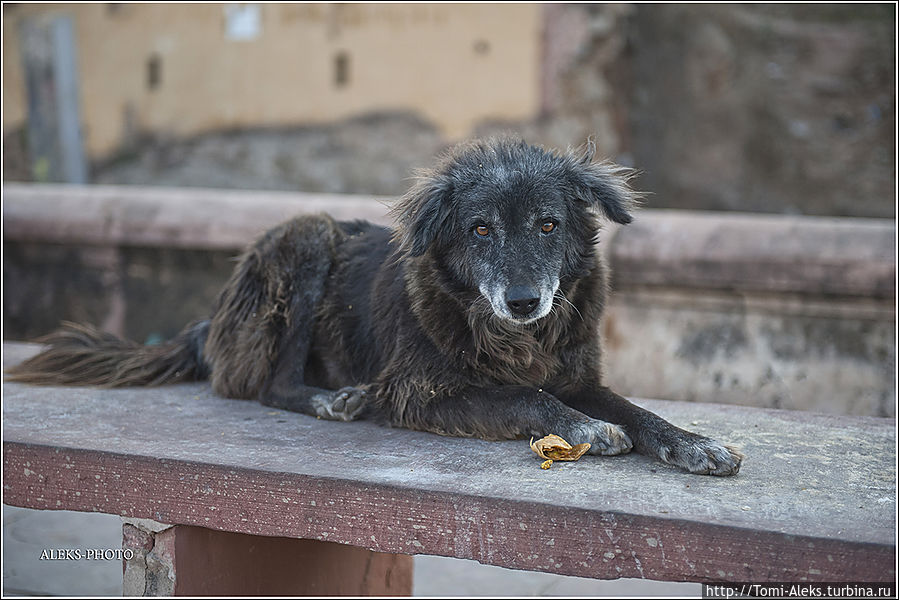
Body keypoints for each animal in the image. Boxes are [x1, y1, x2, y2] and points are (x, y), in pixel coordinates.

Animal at [8, 138, 744, 476]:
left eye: (547, 225)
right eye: (480, 229)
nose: (524, 301)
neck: (512, 338)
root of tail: (209, 324)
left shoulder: (579, 376)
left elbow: (638, 411)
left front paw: (695, 443)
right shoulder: (415, 392)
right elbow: (523, 399)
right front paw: (585, 429)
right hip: (305, 237)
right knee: (269, 385)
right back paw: (333, 400)